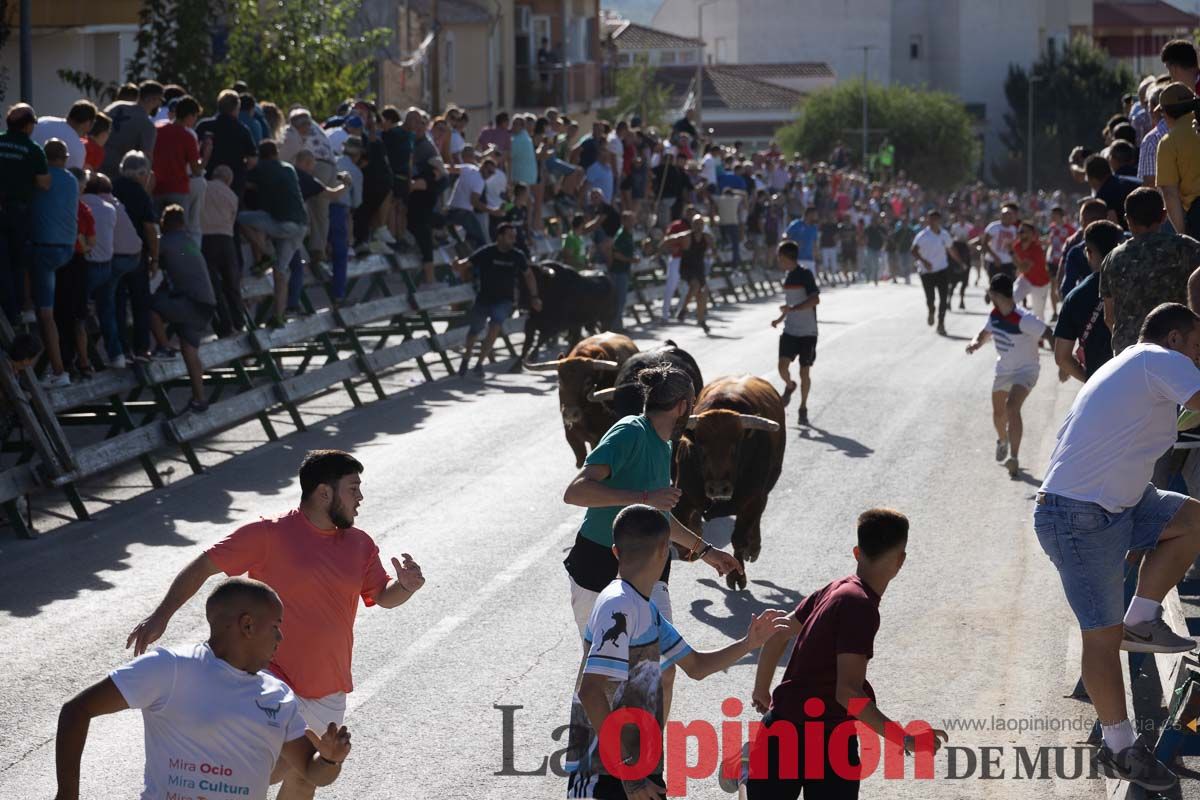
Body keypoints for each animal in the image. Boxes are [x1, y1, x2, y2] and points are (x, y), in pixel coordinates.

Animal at [676, 374, 787, 587]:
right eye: (701, 447)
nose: (719, 488)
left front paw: (737, 575)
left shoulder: (752, 499)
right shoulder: (683, 498)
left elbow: (739, 539)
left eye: (735, 447)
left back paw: (754, 548)